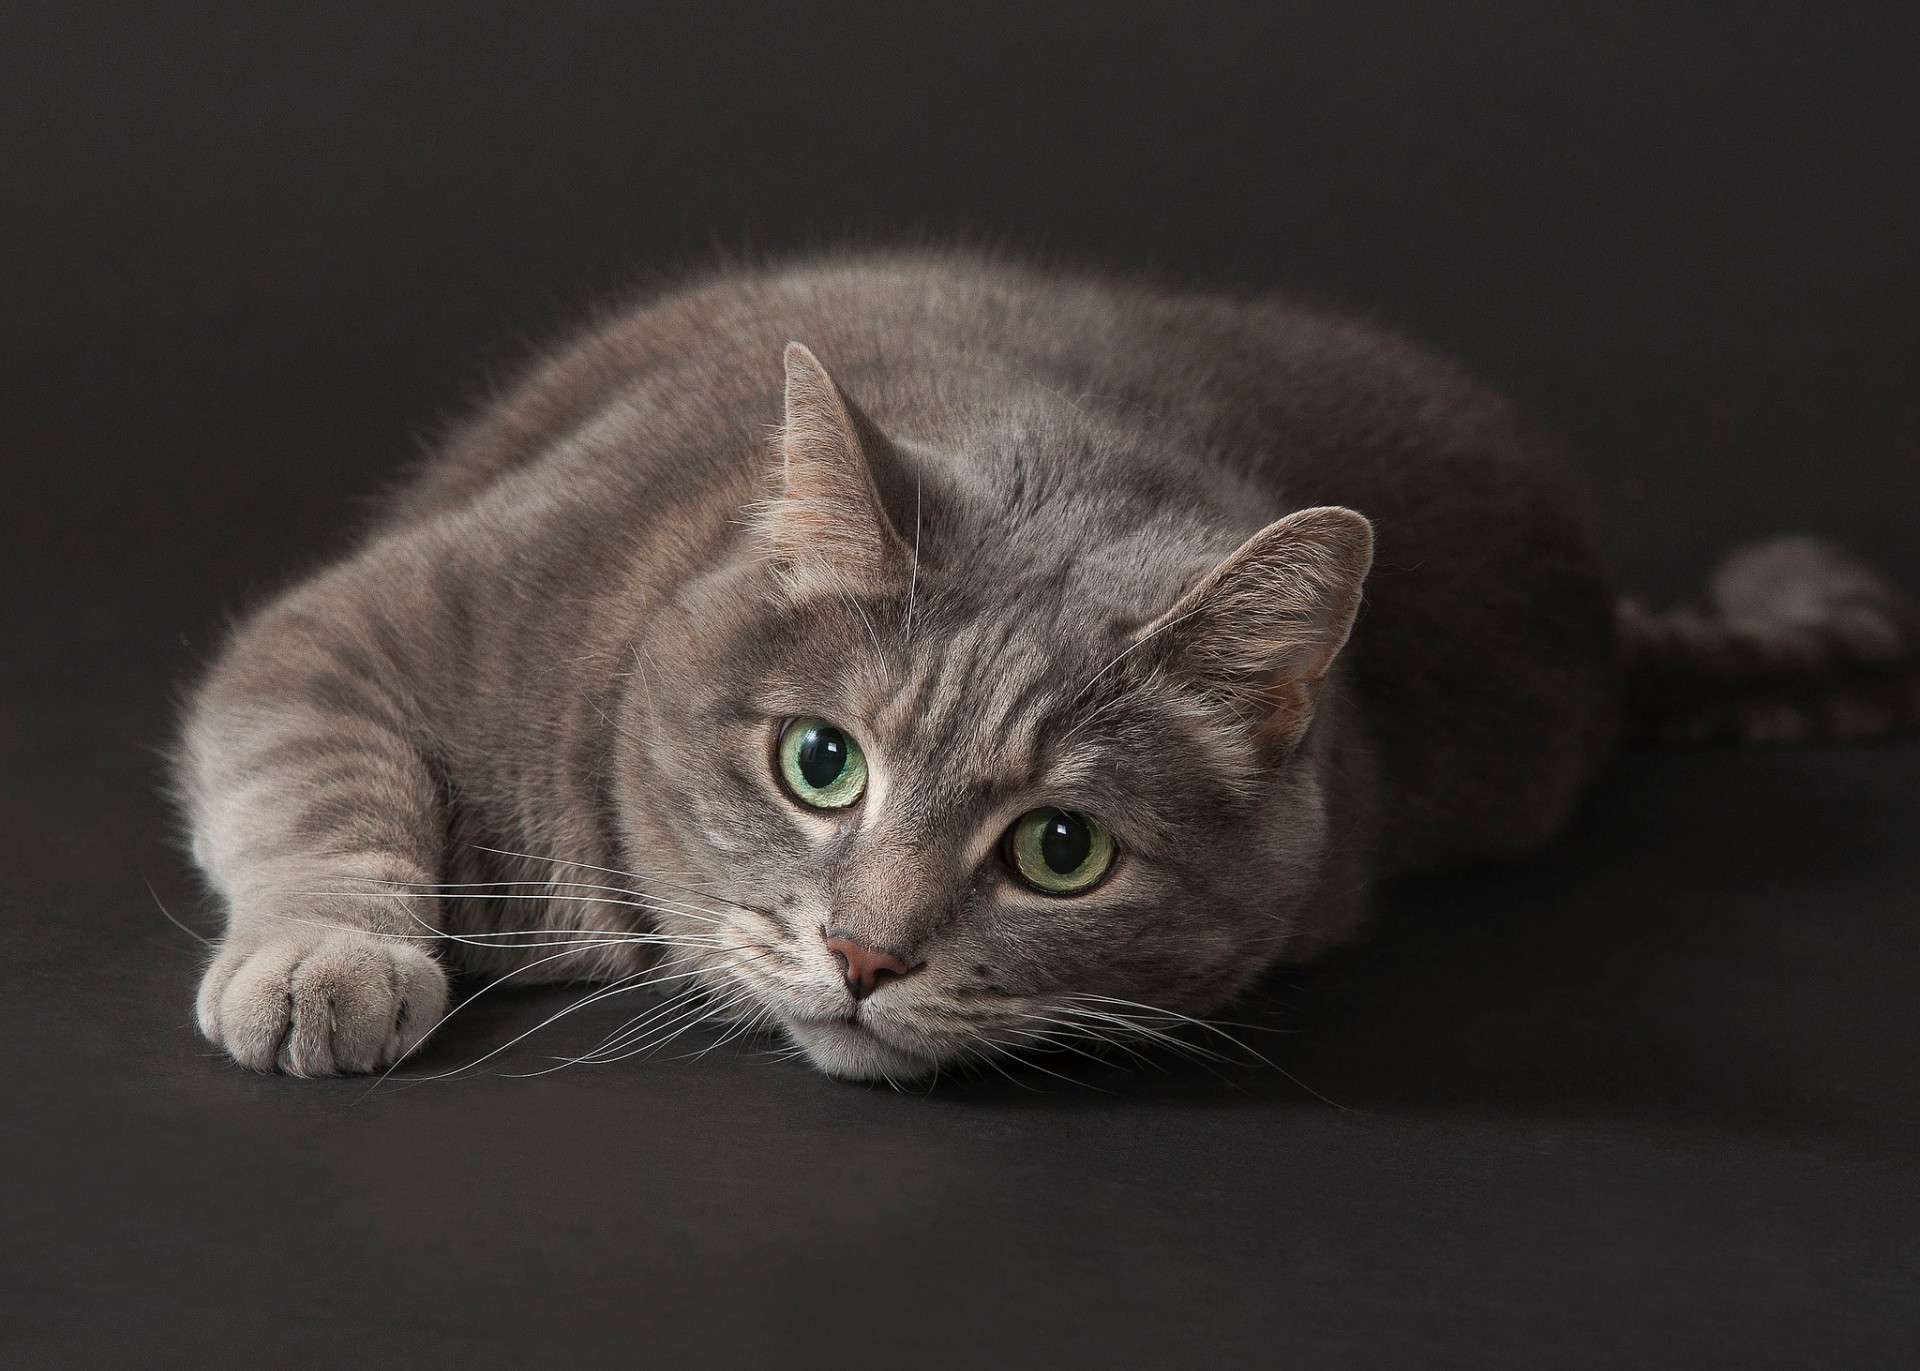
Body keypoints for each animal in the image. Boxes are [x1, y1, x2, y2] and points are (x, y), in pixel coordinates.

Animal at [180, 247, 1920, 1075]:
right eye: (820, 761)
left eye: (1061, 850)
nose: (866, 954)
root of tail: (1599, 608)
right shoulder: (375, 621)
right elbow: (315, 777)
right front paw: (326, 963)